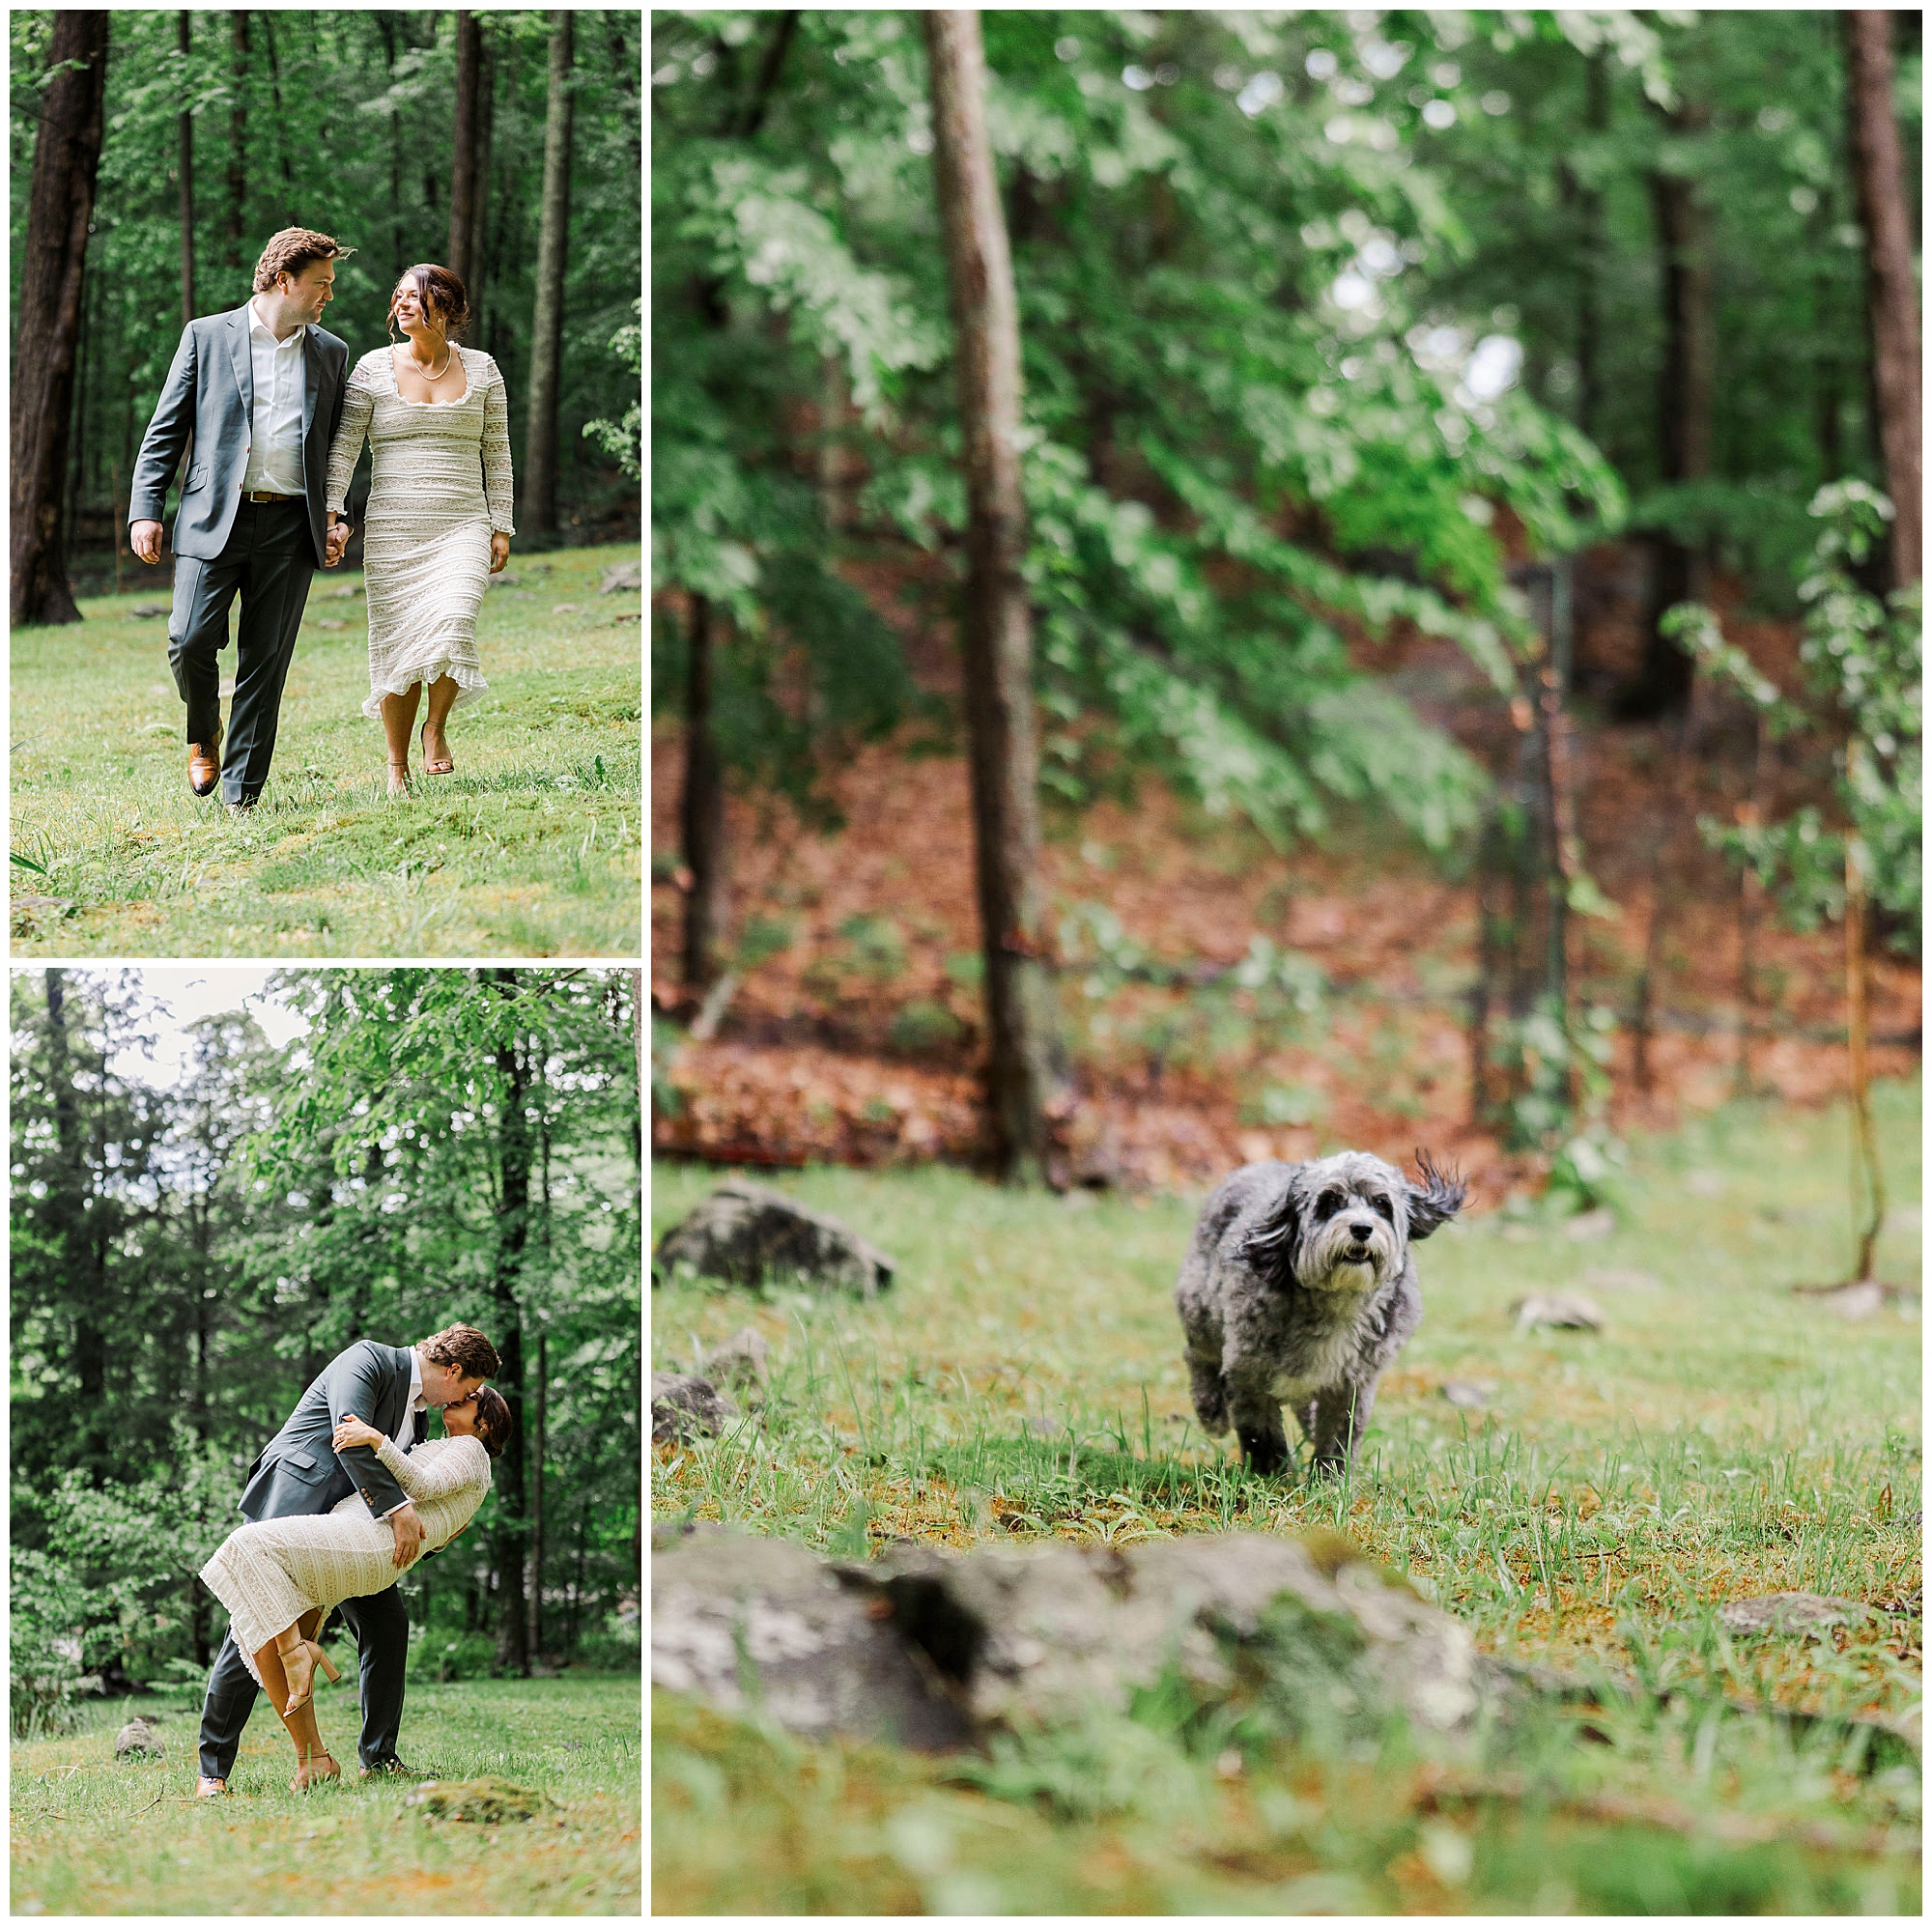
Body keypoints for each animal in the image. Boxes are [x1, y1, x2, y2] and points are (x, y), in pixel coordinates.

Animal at [1175, 1151, 1461, 1484]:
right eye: (1329, 1203)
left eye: (1381, 1204)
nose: (1362, 1228)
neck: (1337, 1302)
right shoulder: (1248, 1375)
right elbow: (1261, 1433)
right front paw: (1271, 1475)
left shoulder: (1352, 1383)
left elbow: (1339, 1435)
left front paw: (1329, 1480)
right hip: (1200, 1309)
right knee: (1198, 1355)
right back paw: (1211, 1409)